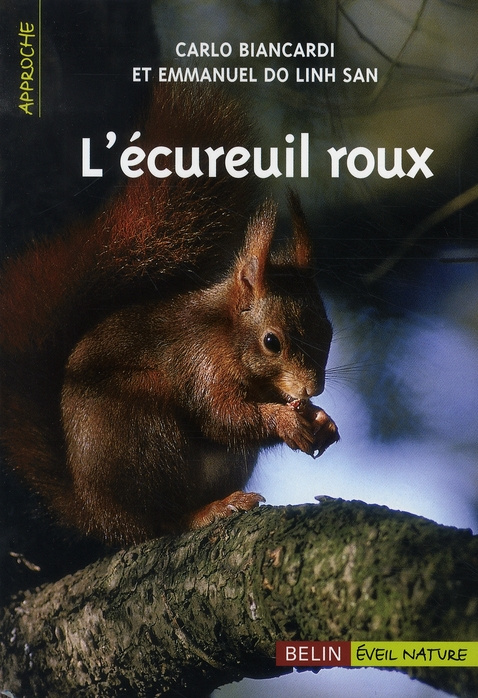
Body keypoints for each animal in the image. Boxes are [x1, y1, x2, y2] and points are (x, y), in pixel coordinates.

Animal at [0, 84, 339, 546]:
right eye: (272, 341)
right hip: (142, 422)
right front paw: (285, 420)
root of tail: (96, 511)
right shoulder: (198, 363)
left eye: (330, 332)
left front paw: (320, 420)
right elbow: (222, 418)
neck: (224, 335)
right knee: (161, 521)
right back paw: (207, 510)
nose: (313, 388)